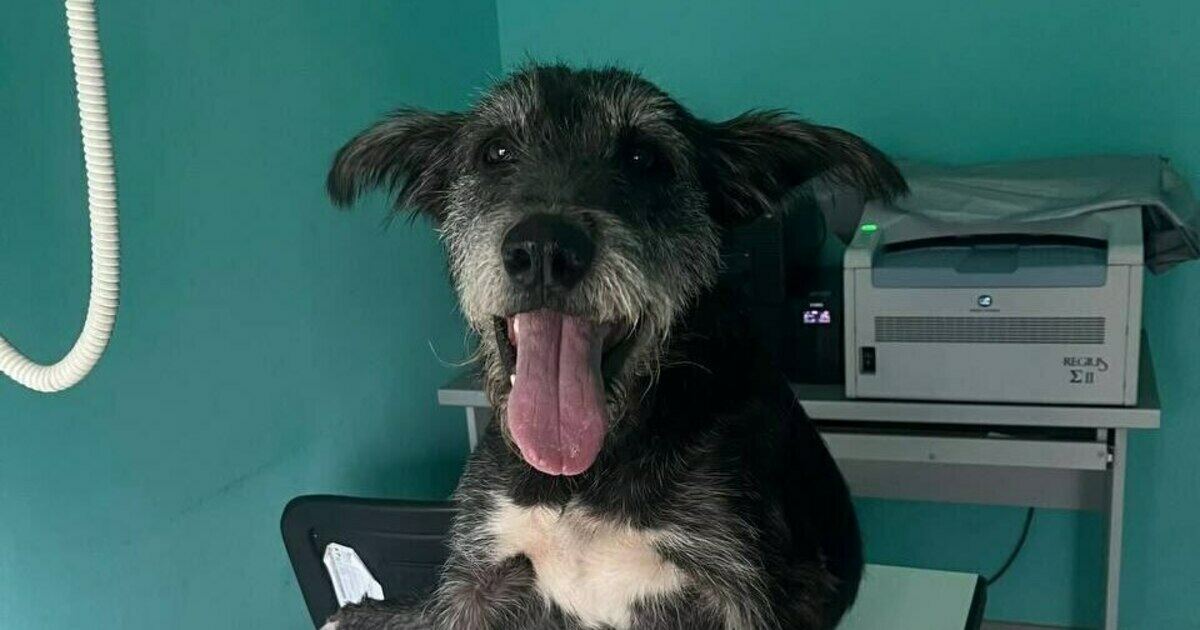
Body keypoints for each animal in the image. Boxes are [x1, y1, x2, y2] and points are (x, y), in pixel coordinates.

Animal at [322, 64, 906, 630]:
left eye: (644, 157)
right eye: (495, 151)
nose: (544, 247)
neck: (586, 474)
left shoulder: (745, 589)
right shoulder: (480, 573)